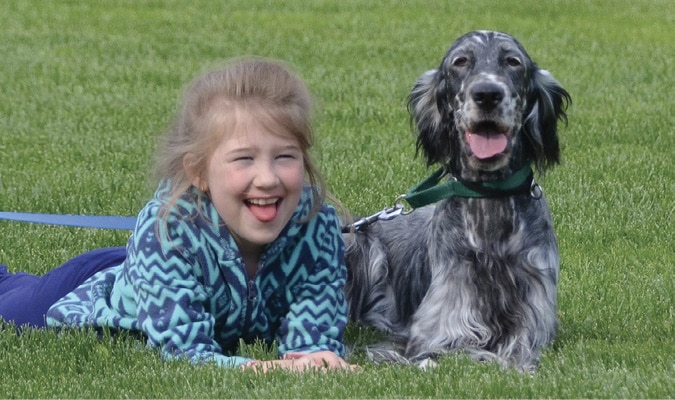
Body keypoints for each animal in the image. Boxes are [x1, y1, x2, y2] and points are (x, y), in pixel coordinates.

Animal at [346, 29, 572, 370]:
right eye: (461, 61)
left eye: (513, 61)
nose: (487, 94)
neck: (489, 201)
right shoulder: (439, 331)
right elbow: (468, 353)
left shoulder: (532, 326)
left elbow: (516, 357)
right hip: (357, 241)